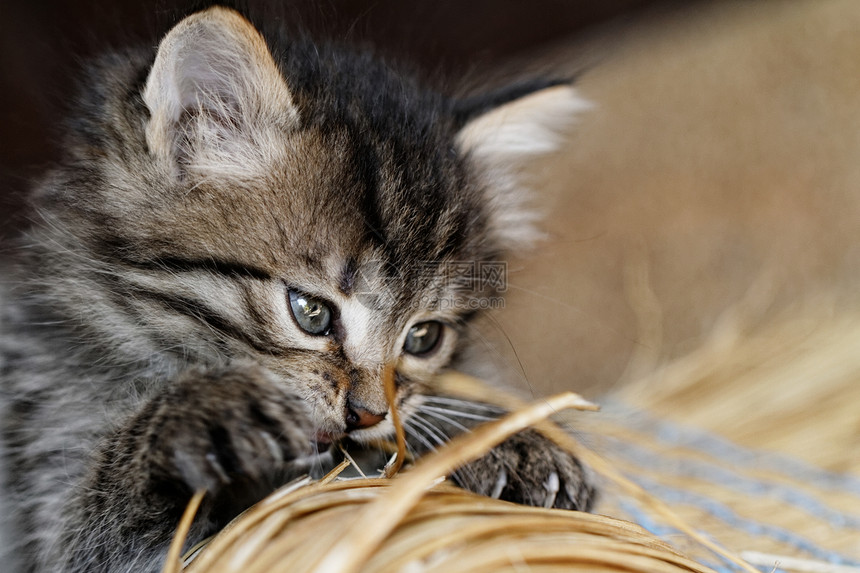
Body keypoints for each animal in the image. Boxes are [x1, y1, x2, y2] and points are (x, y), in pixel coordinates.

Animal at [0, 5, 592, 572]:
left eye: (423, 338)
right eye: (310, 312)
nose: (368, 416)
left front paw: (502, 439)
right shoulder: (47, 492)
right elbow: (94, 523)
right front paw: (206, 410)